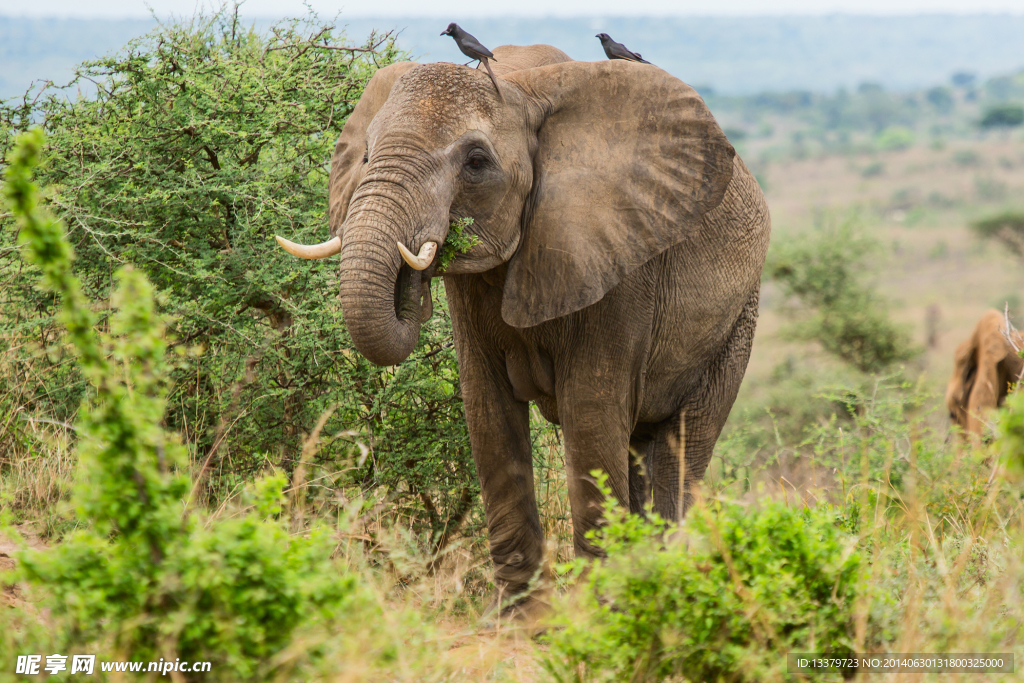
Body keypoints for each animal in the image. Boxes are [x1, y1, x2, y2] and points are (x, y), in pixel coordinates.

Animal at [272, 44, 770, 610]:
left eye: (476, 162)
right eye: (366, 156)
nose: (412, 277)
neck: (521, 88)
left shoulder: (618, 266)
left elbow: (591, 416)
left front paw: (595, 614)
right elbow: (489, 416)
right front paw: (521, 618)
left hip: (737, 321)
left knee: (680, 448)